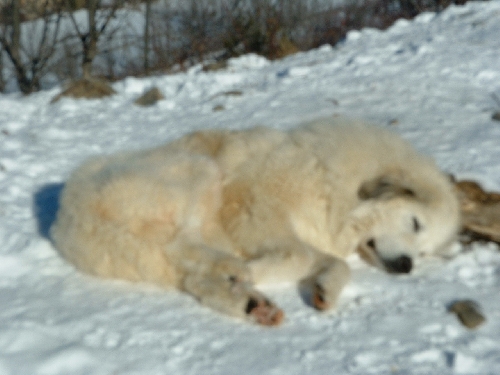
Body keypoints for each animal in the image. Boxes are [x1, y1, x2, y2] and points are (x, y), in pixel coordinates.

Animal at [51, 117, 460, 326]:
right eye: (415, 223)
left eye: (424, 252)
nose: (407, 266)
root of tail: (66, 217)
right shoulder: (256, 206)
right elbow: (299, 255)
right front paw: (254, 270)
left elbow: (333, 263)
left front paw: (325, 289)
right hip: (201, 170)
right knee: (183, 249)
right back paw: (237, 271)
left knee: (191, 276)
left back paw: (251, 304)